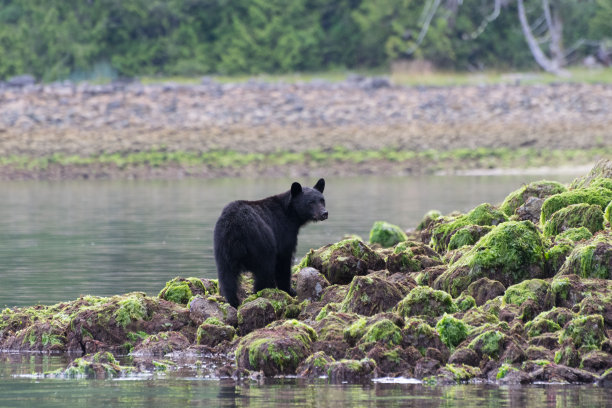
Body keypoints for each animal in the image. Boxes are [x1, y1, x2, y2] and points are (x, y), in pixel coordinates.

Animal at [215, 177, 330, 308]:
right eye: (310, 202)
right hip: (260, 241)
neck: (290, 214)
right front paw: (289, 290)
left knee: (227, 276)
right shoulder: (283, 231)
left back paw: (233, 302)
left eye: (322, 200)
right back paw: (261, 292)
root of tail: (235, 226)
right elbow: (283, 260)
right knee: (264, 268)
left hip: (223, 247)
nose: (324, 213)